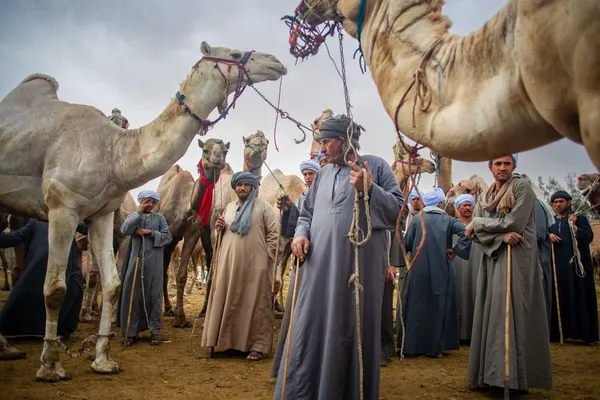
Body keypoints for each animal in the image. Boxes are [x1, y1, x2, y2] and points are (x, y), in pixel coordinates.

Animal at [155, 138, 230, 328]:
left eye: (225, 151)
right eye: (205, 150)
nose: (217, 157)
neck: (186, 206)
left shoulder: (192, 235)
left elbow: (181, 275)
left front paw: (181, 318)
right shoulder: (166, 235)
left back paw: (170, 308)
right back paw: (166, 308)